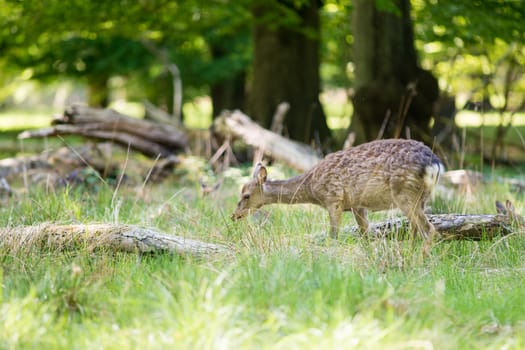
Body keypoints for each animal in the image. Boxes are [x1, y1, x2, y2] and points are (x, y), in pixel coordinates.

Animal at [229, 138, 442, 239]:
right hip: (420, 197)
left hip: (405, 193)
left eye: (246, 195)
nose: (234, 215)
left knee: (429, 230)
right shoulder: (358, 205)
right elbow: (365, 234)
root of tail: (435, 163)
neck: (312, 187)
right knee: (417, 230)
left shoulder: (333, 198)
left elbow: (333, 235)